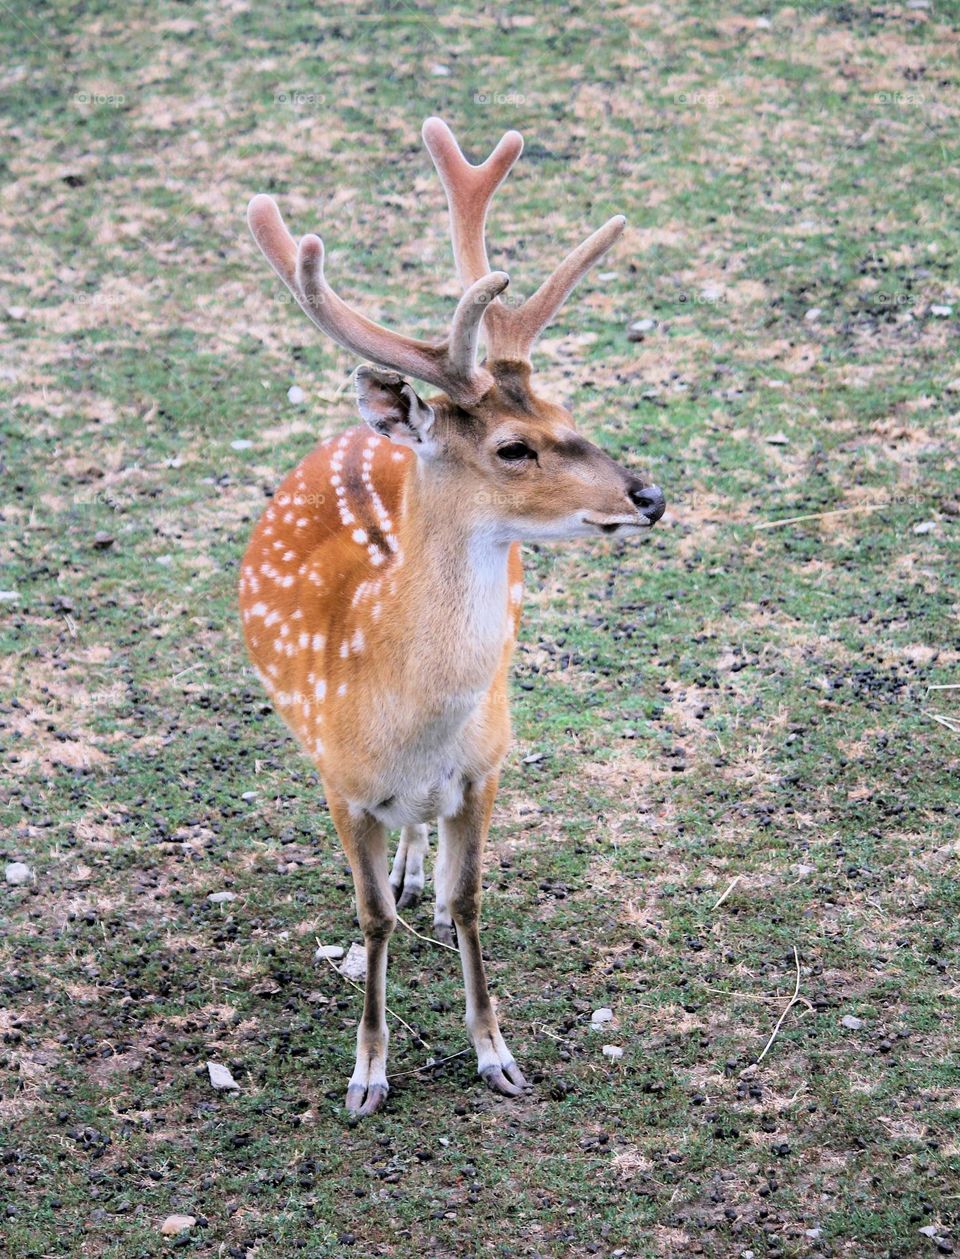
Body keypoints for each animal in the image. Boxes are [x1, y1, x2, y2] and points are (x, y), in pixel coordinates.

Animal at [240, 117, 665, 1117]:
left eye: (567, 408)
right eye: (514, 447)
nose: (650, 494)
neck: (406, 721)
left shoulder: (487, 763)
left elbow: (472, 900)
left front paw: (496, 1052)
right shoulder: (339, 780)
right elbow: (369, 918)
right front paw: (366, 1073)